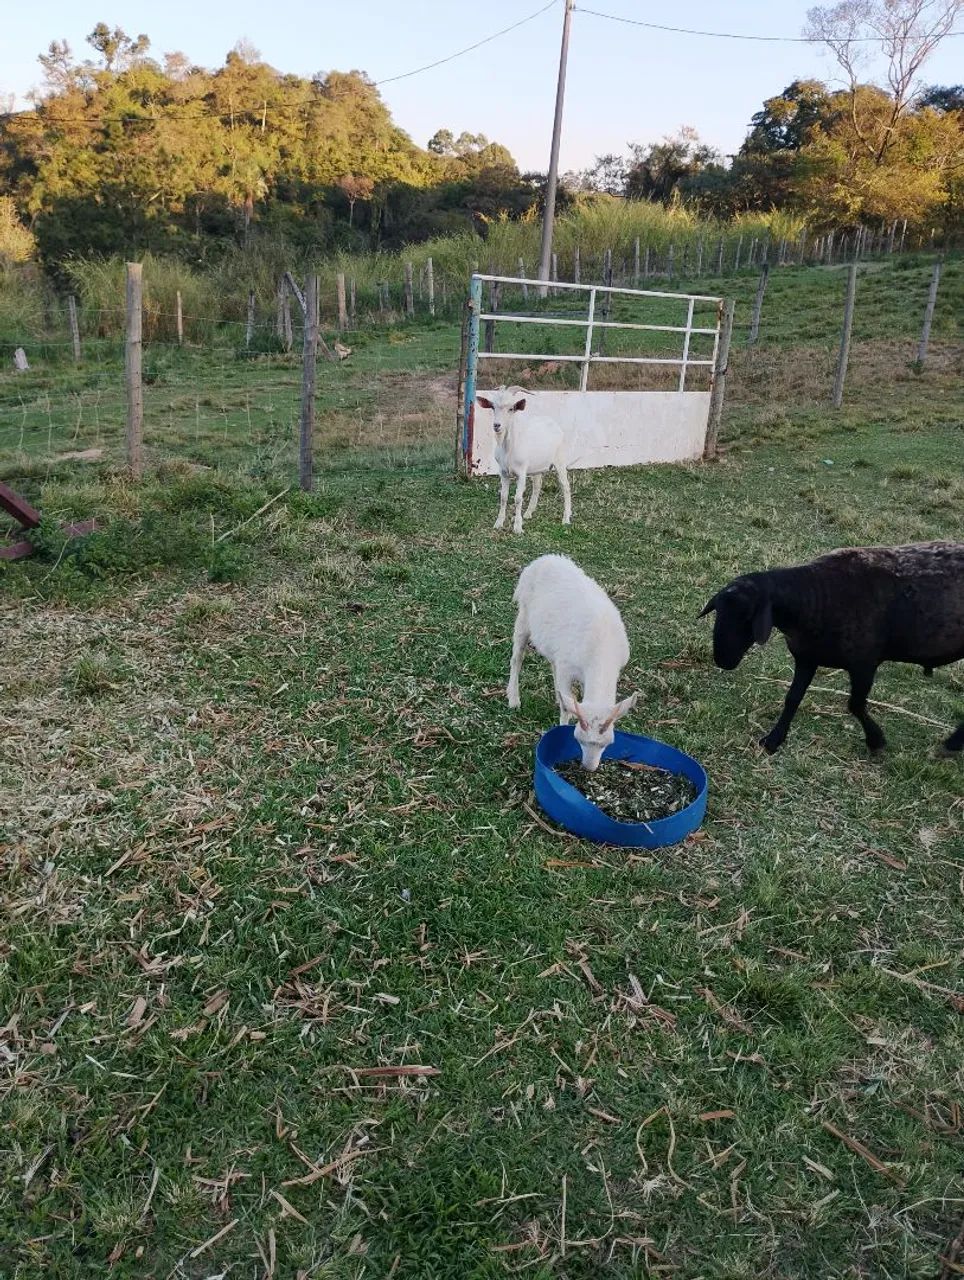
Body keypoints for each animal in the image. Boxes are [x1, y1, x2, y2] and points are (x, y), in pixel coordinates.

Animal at [476, 386, 572, 534]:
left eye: (511, 408)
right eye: (492, 407)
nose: (497, 425)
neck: (509, 448)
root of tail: (554, 423)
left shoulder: (521, 472)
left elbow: (518, 498)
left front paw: (517, 527)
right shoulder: (503, 472)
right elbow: (503, 497)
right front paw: (498, 523)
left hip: (560, 461)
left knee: (565, 486)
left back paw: (566, 518)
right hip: (537, 467)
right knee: (537, 485)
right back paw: (528, 513)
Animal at [508, 554, 637, 770]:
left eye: (608, 743)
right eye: (580, 739)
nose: (589, 768)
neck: (602, 650)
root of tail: (544, 559)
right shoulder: (567, 669)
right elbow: (565, 707)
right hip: (523, 615)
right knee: (516, 657)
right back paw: (513, 699)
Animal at [699, 541, 964, 755]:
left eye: (748, 618)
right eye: (718, 612)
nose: (722, 660)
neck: (816, 596)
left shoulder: (864, 664)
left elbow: (855, 705)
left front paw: (876, 741)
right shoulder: (806, 658)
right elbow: (792, 698)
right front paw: (774, 739)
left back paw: (952, 744)